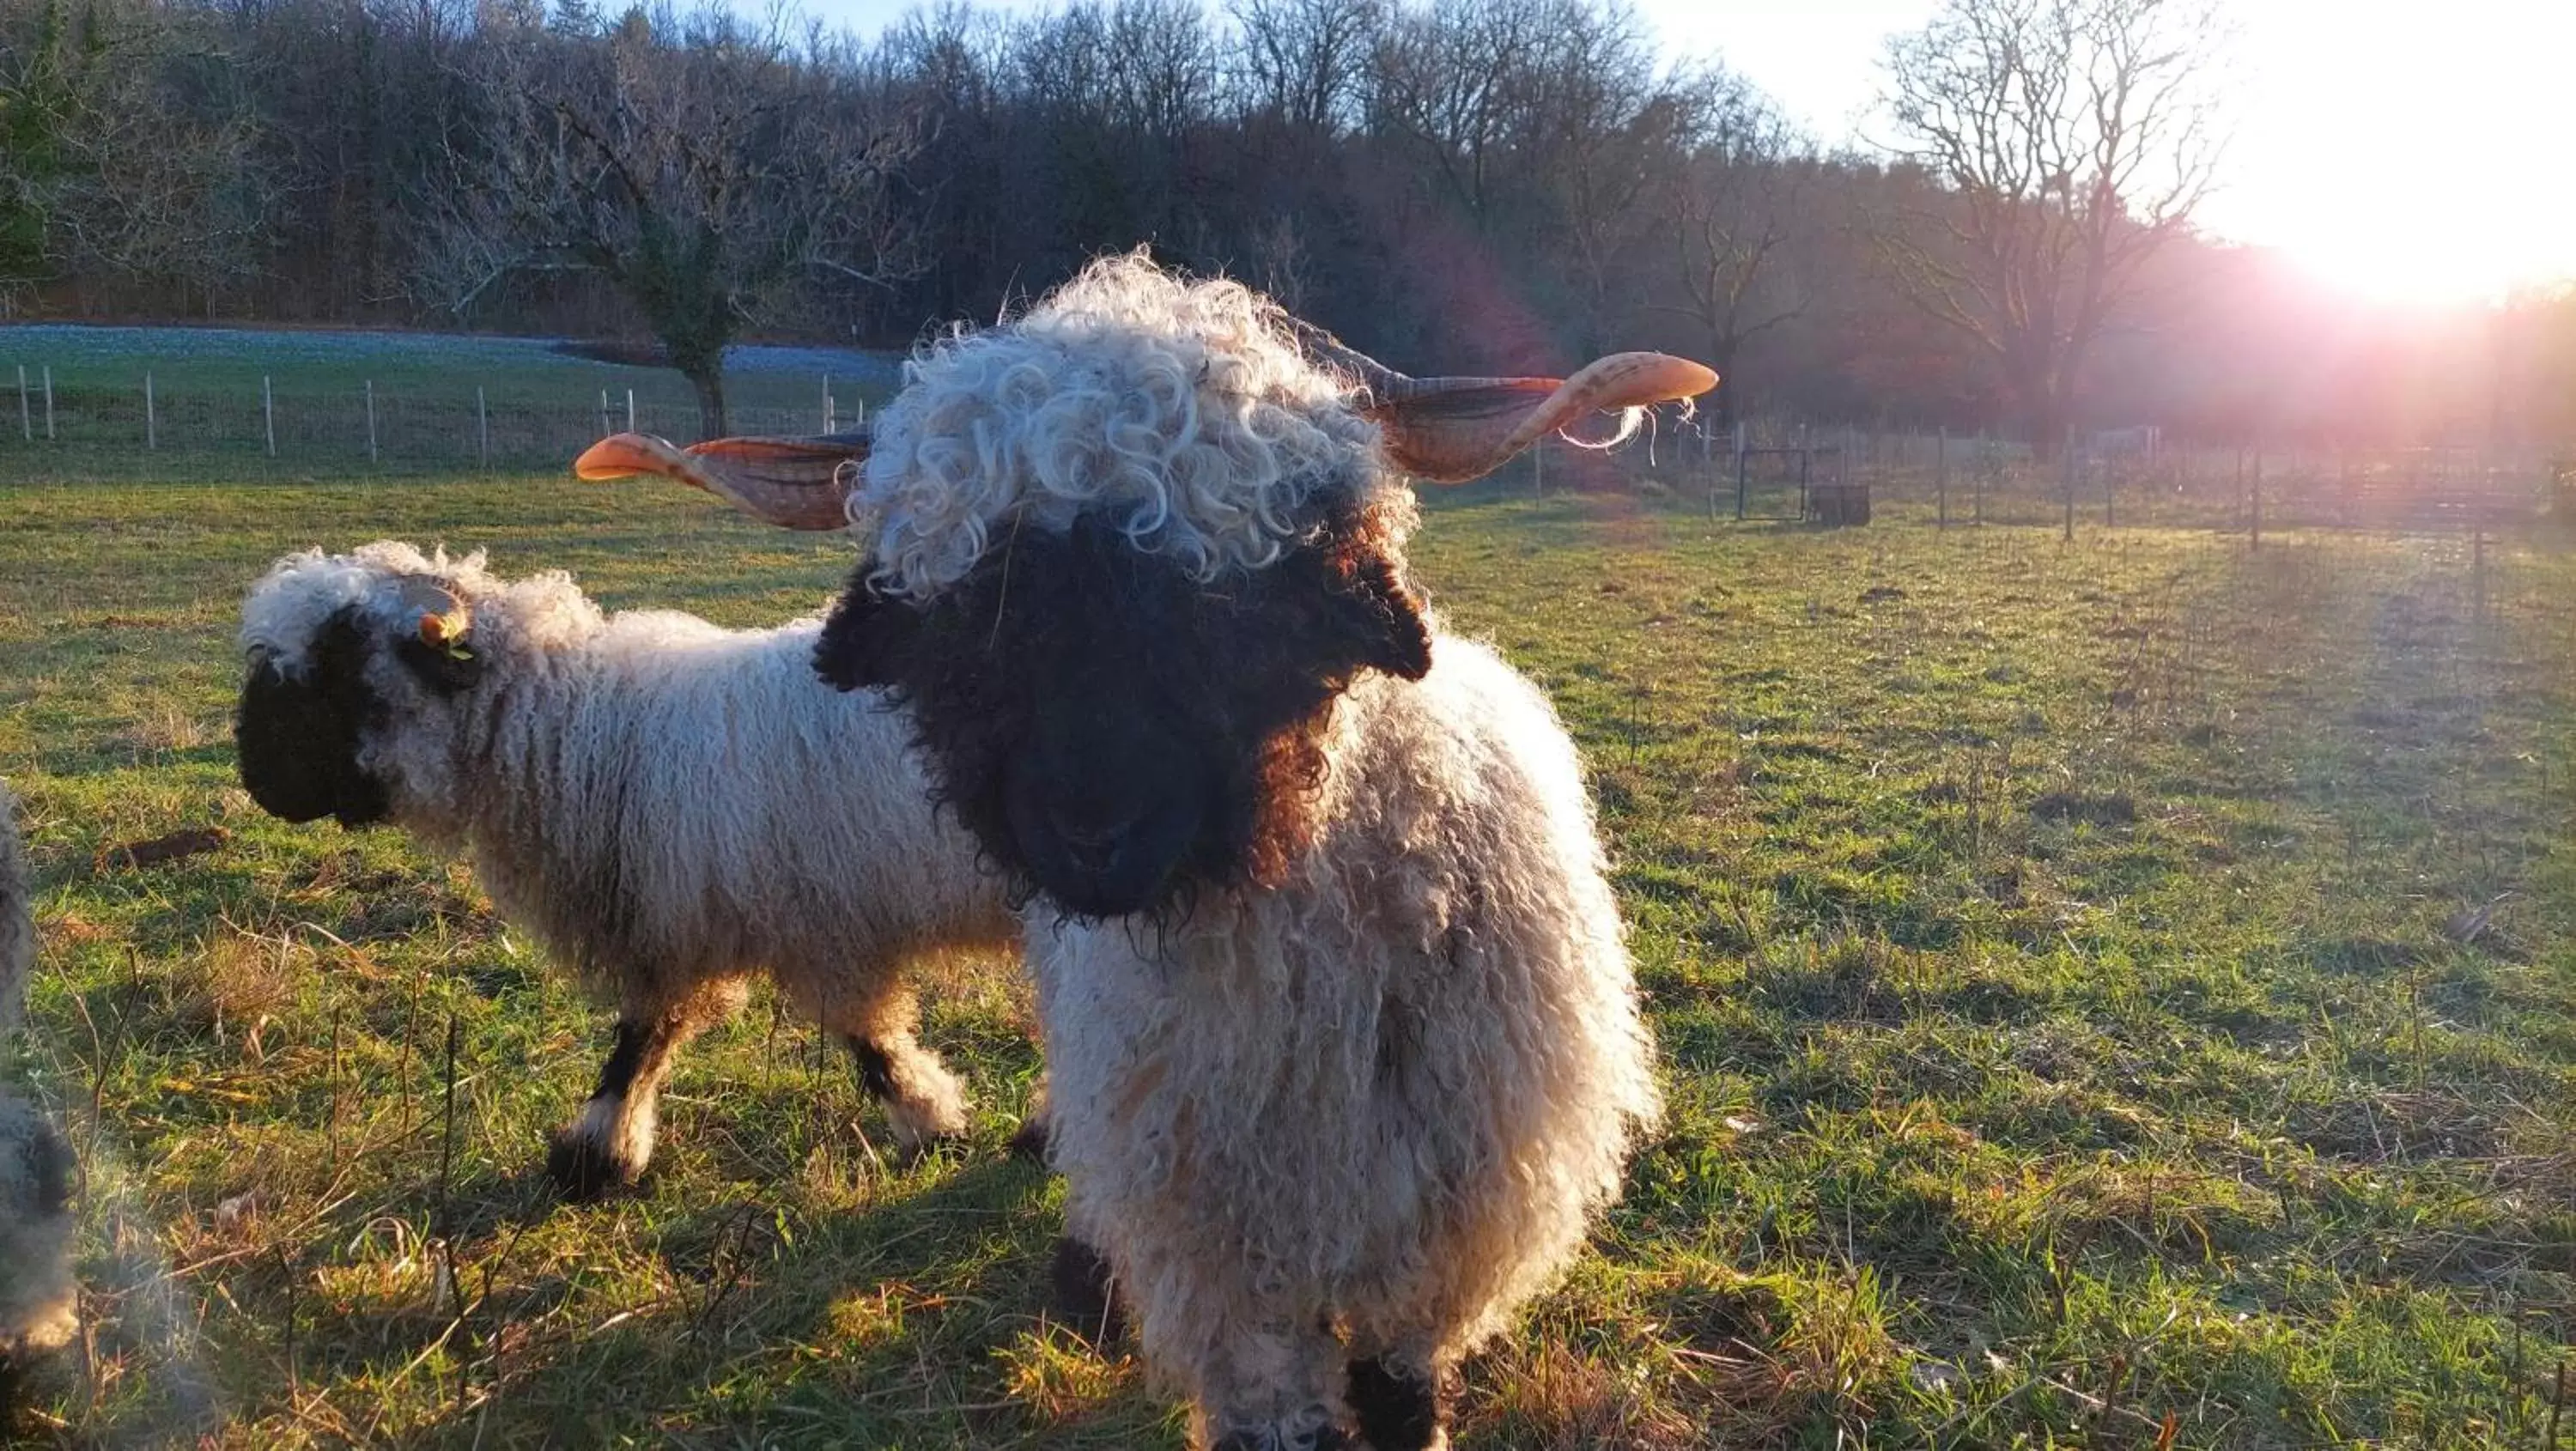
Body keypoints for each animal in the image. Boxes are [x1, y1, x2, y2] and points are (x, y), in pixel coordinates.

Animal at [232, 546, 1015, 1205]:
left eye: (337, 663)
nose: (257, 781)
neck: (583, 732)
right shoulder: (695, 923)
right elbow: (652, 1039)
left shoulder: (789, 927)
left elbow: (844, 1040)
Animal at [582, 261, 1710, 1451]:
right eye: (963, 623)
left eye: (1258, 600)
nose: (1092, 828)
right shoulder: (1225, 1266)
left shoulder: (1443, 1241)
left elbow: (1402, 1397)